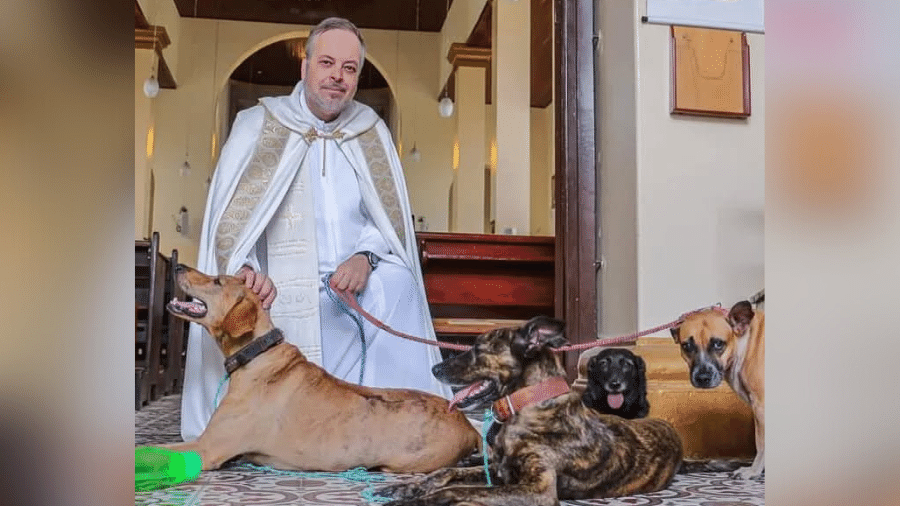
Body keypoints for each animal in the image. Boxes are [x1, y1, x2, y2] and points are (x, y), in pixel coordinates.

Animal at [378, 316, 684, 506]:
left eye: (478, 348)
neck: (526, 406)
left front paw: (416, 500)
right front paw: (404, 488)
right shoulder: (498, 471)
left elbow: (456, 489)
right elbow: (446, 473)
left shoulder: (537, 491)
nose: (435, 368)